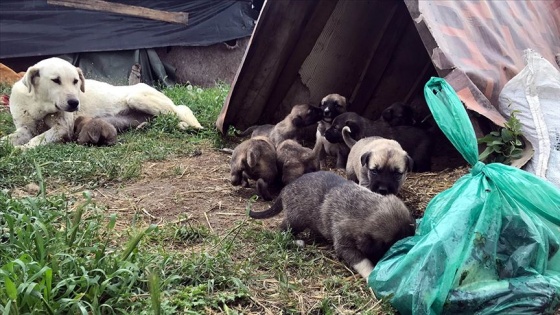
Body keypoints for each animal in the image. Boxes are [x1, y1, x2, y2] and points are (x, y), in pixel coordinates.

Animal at [2, 57, 203, 149]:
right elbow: (11, 138)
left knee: (180, 110)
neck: (39, 107)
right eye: (55, 80)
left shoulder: (62, 129)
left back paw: (191, 125)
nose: (74, 103)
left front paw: (21, 149)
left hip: (137, 98)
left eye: (75, 81)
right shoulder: (24, 129)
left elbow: (36, 139)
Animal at [249, 170, 416, 282]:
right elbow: (362, 261)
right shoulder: (345, 245)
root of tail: (285, 189)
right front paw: (371, 274)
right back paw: (297, 241)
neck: (363, 208)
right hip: (296, 220)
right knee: (282, 231)